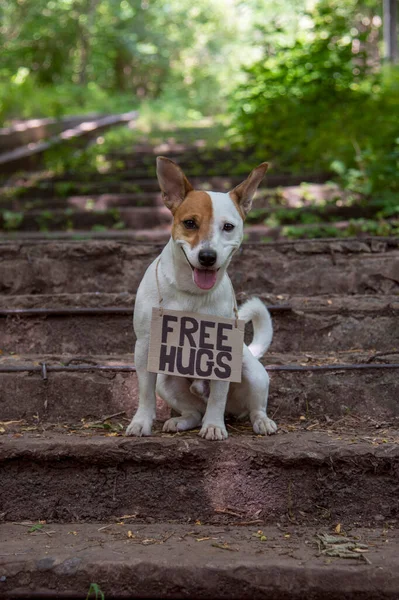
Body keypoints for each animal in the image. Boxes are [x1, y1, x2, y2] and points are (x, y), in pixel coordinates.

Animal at [126, 157, 276, 440]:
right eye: (189, 223)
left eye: (228, 227)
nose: (207, 257)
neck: (190, 293)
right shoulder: (145, 347)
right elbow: (144, 393)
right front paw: (141, 422)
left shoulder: (222, 353)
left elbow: (218, 395)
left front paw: (214, 426)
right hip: (167, 381)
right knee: (193, 412)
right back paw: (181, 421)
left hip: (253, 374)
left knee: (253, 408)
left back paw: (260, 421)